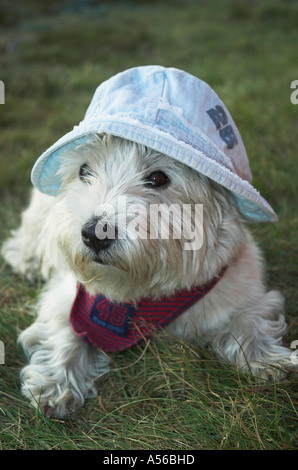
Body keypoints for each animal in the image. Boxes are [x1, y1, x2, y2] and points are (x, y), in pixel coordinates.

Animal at [1, 67, 296, 418]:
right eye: (84, 170)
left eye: (158, 178)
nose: (93, 234)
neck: (142, 293)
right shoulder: (69, 296)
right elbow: (67, 331)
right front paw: (55, 384)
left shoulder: (245, 291)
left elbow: (249, 323)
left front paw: (272, 360)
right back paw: (29, 263)